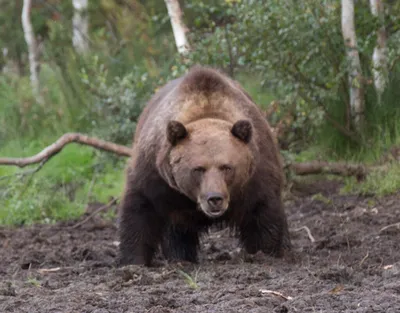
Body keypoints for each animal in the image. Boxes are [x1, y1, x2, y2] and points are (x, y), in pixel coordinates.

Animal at [118, 64, 290, 264]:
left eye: (227, 167)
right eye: (198, 169)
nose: (215, 198)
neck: (205, 111)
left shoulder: (257, 173)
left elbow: (263, 213)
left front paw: (265, 253)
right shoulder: (155, 173)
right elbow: (140, 208)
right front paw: (133, 260)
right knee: (177, 231)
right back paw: (181, 258)